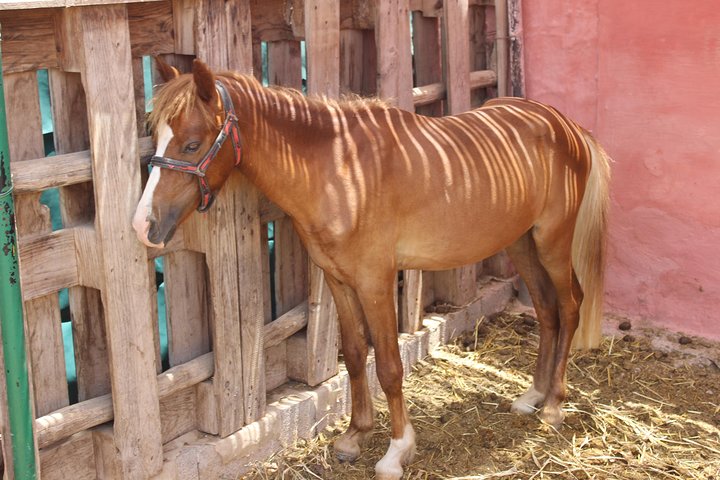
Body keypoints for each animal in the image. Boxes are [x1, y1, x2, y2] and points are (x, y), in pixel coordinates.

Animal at [132, 58, 611, 480]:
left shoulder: (376, 282)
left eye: (192, 144)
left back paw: (554, 406)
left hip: (551, 243)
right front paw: (355, 435)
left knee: (570, 307)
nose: (143, 224)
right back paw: (532, 396)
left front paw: (396, 452)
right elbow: (355, 354)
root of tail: (565, 125)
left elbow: (389, 367)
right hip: (521, 243)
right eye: (156, 136)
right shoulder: (338, 280)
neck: (340, 172)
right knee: (546, 310)